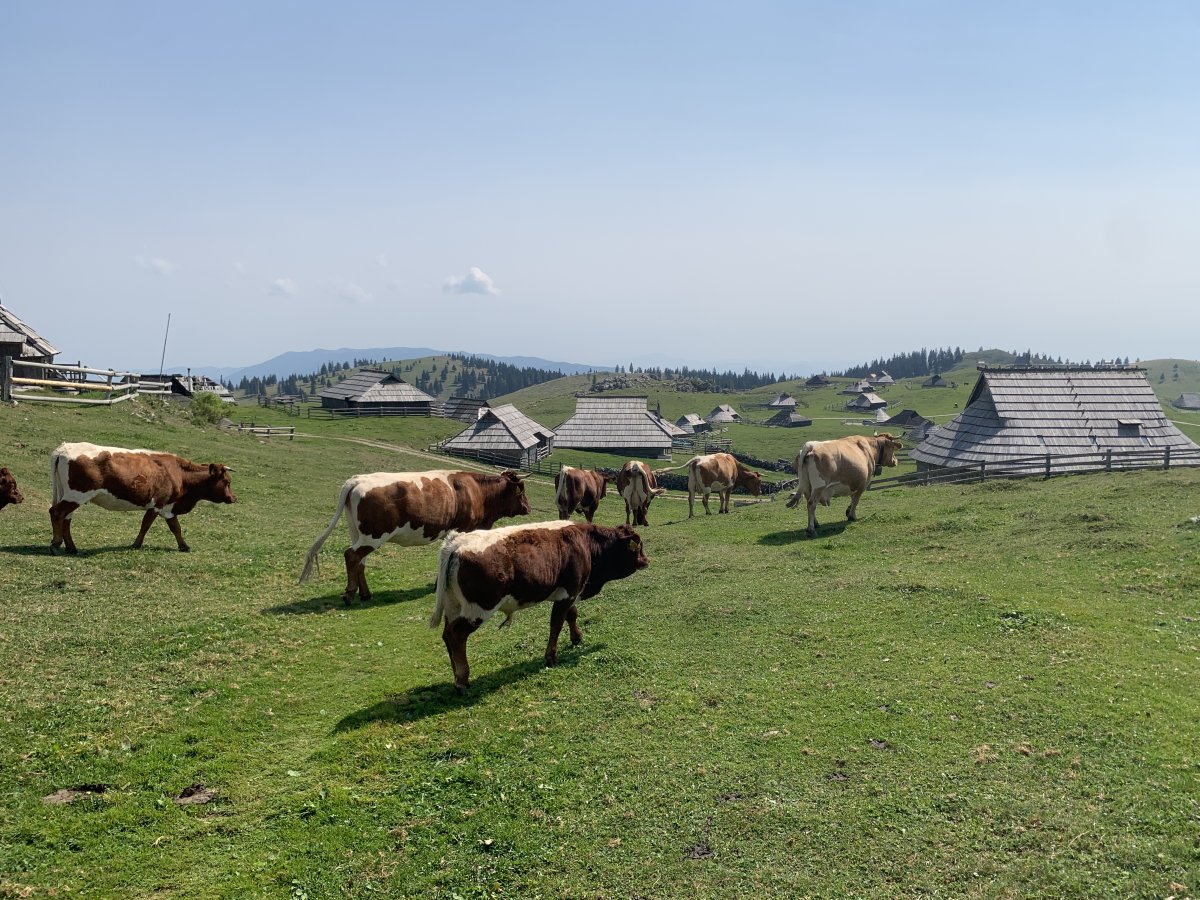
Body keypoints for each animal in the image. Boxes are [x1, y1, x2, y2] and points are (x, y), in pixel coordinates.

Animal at [48, 442, 236, 555]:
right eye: (227, 481)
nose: (233, 497)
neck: (179, 473)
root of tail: (63, 449)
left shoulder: (168, 507)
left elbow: (176, 527)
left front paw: (184, 546)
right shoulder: (157, 504)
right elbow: (146, 525)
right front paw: (136, 544)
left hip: (69, 495)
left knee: (66, 518)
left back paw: (71, 548)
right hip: (76, 495)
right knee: (56, 513)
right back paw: (56, 545)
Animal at [299, 469, 532, 605]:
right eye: (520, 490)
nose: (528, 508)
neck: (477, 491)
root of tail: (357, 480)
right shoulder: (463, 529)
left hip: (357, 532)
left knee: (359, 561)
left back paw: (365, 594)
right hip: (373, 535)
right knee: (351, 556)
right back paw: (349, 594)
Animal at [429, 520, 649, 692]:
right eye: (638, 546)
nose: (646, 560)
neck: (586, 542)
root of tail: (457, 542)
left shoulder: (570, 593)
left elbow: (572, 615)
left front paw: (576, 638)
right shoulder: (569, 593)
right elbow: (556, 624)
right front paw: (551, 656)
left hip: (453, 606)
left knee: (447, 635)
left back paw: (456, 673)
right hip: (479, 609)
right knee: (456, 635)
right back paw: (462, 679)